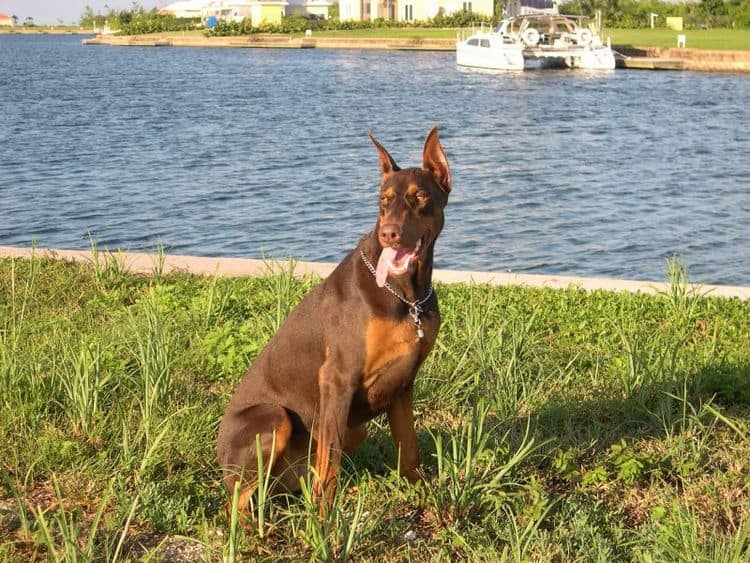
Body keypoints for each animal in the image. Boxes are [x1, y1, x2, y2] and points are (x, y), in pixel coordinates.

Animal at [217, 129, 452, 516]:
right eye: (383, 201)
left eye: (419, 197)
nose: (389, 233)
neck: (406, 295)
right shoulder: (337, 378)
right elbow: (330, 465)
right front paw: (324, 521)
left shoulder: (403, 382)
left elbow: (409, 450)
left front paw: (425, 498)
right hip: (274, 418)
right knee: (238, 501)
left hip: (350, 430)